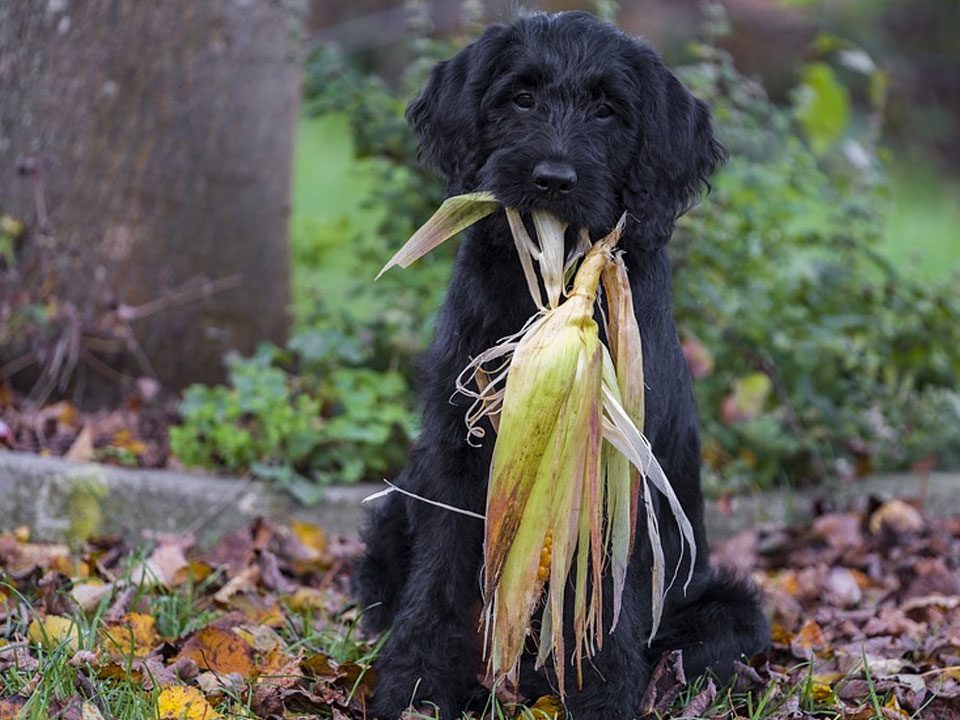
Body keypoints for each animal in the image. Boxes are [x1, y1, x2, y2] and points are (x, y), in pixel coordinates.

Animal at [356, 12, 768, 720]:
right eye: (521, 97)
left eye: (607, 109)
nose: (552, 177)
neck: (551, 282)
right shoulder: (456, 460)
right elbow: (437, 579)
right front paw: (415, 687)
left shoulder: (623, 476)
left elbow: (608, 600)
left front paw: (603, 696)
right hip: (390, 517)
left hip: (726, 606)